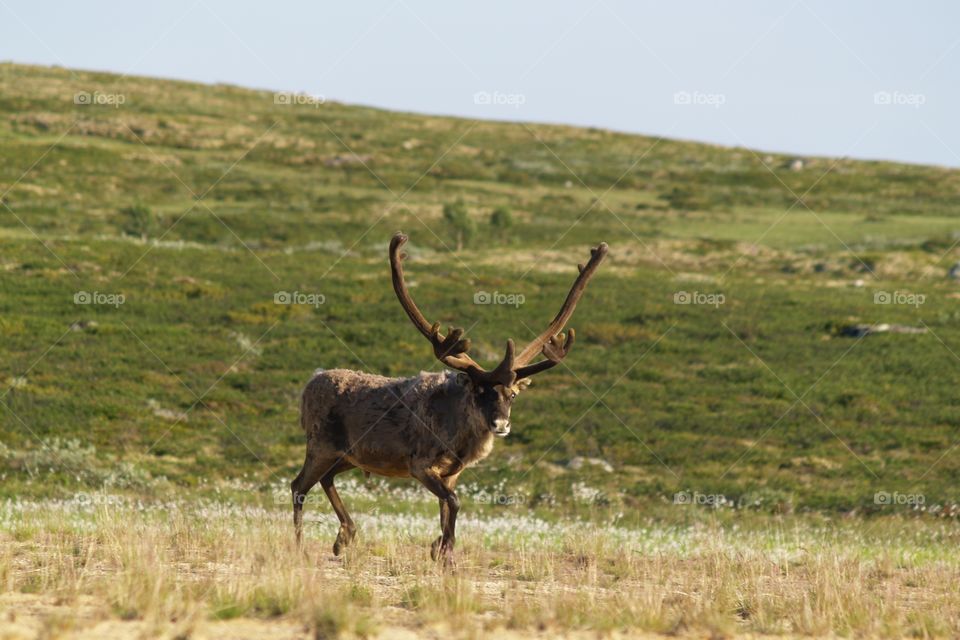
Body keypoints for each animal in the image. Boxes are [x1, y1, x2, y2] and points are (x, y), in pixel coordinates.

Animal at [292, 232, 608, 564]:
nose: (501, 424)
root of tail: (309, 385)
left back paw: (344, 537)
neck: (460, 437)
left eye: (511, 394)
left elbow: (446, 508)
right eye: (480, 391)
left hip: (348, 456)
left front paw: (438, 547)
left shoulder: (452, 473)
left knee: (325, 479)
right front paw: (446, 552)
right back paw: (301, 546)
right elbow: (454, 502)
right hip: (321, 446)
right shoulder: (420, 466)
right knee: (298, 485)